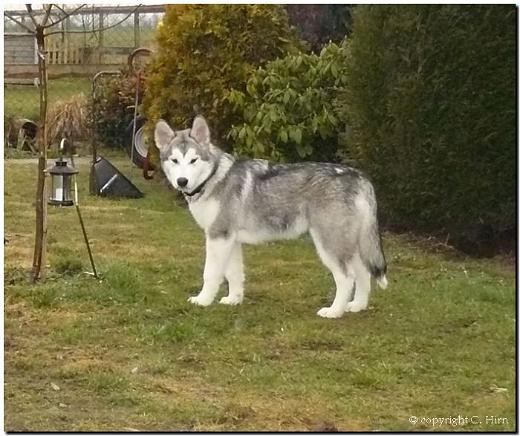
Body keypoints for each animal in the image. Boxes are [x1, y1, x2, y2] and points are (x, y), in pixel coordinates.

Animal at [154, 116, 387, 318]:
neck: (213, 178)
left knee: (347, 277)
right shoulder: (229, 240)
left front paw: (203, 300)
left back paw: (334, 311)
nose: (182, 181)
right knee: (364, 273)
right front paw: (234, 300)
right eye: (174, 160)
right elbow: (234, 274)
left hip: (330, 244)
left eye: (193, 160)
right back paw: (357, 306)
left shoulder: (217, 236)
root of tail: (358, 177)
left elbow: (210, 273)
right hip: (350, 243)